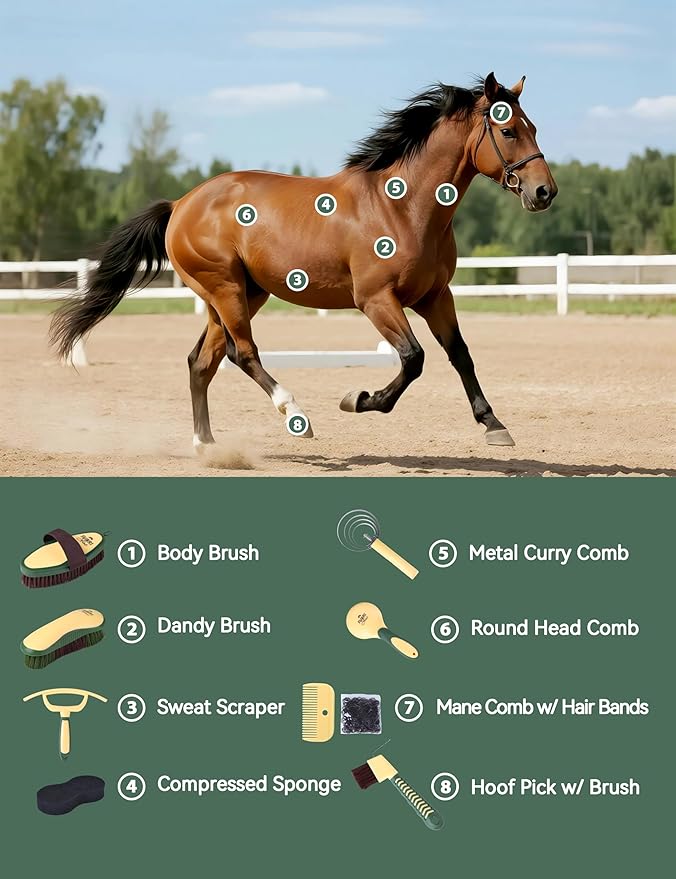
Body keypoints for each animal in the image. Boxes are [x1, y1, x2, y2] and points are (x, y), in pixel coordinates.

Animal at [51, 72, 557, 450]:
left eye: (533, 128)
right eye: (508, 130)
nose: (544, 192)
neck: (404, 206)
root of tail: (181, 204)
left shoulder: (435, 296)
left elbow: (460, 354)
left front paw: (494, 426)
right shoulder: (376, 300)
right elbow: (413, 359)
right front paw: (359, 399)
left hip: (238, 295)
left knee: (202, 361)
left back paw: (208, 446)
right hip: (225, 290)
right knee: (241, 353)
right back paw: (296, 415)